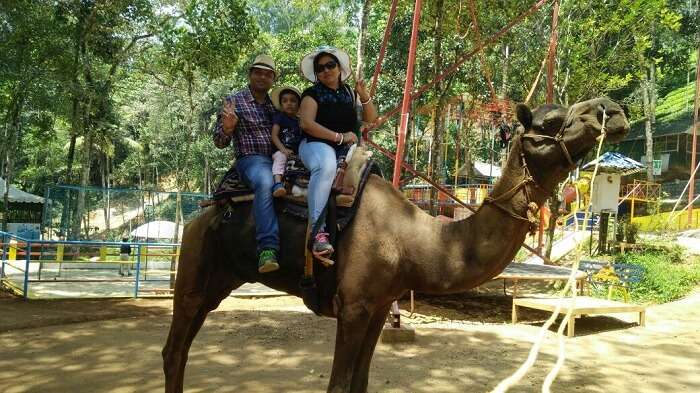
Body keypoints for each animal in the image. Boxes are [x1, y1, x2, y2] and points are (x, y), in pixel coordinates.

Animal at [163, 97, 628, 392]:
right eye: (550, 123)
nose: (612, 110)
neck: (414, 241)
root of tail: (200, 213)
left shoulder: (379, 305)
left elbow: (361, 383)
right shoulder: (352, 307)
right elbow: (339, 385)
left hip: (217, 280)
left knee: (181, 349)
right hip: (194, 267)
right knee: (173, 348)